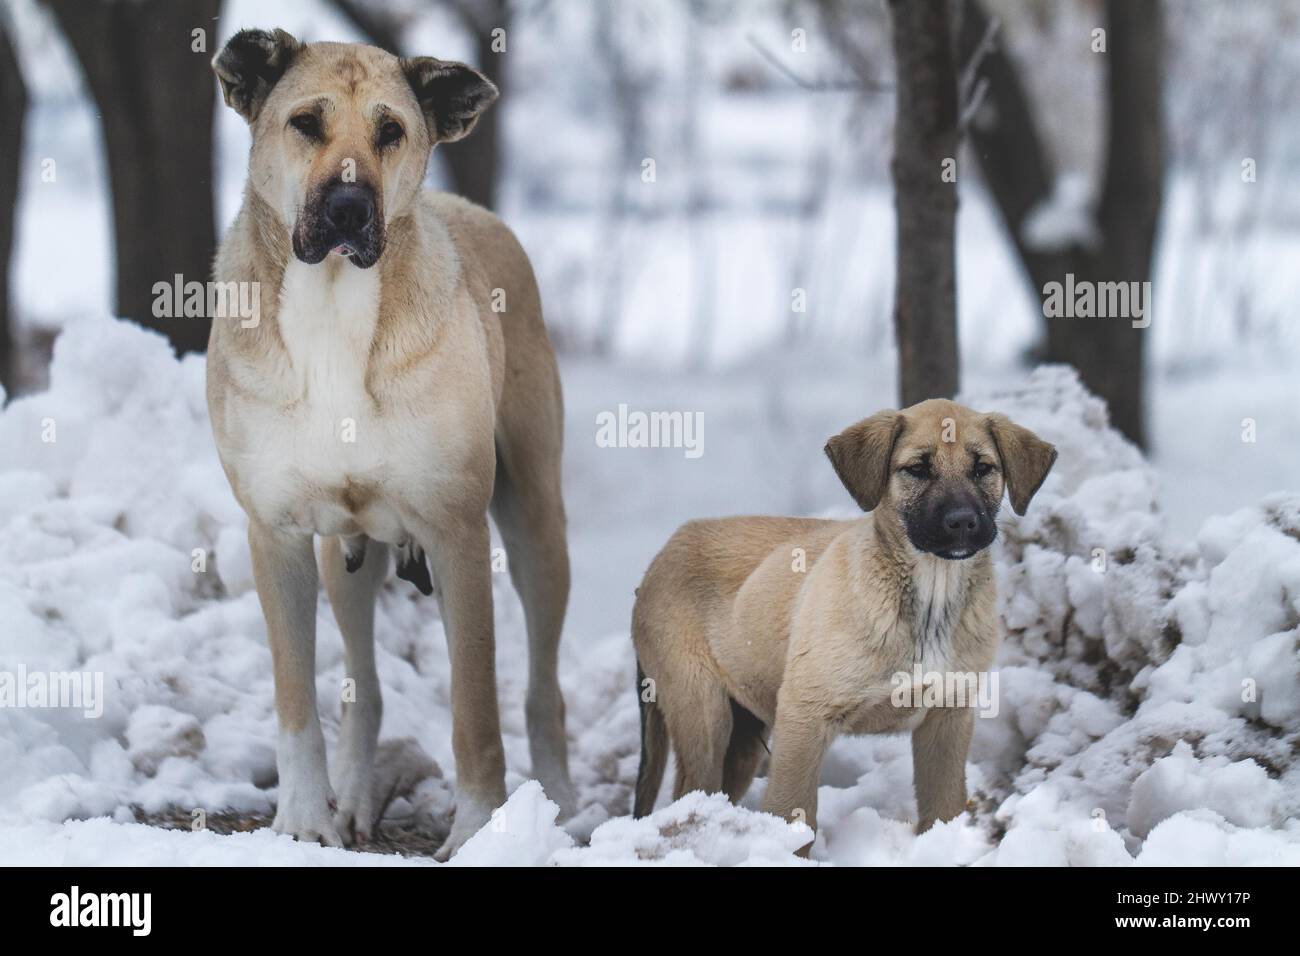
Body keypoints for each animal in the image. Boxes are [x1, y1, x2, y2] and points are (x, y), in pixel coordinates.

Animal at [209, 29, 574, 858]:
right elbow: (296, 701)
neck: (333, 306)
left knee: (541, 687)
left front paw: (477, 830)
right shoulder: (275, 534)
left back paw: (561, 802)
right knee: (364, 683)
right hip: (347, 557)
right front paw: (302, 820)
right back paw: (352, 794)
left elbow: (475, 708)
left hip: (537, 527)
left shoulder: (457, 532)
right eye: (305, 123)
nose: (350, 205)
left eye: (391, 132)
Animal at [629, 400, 1055, 848]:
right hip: (703, 714)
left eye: (983, 468)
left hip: (742, 736)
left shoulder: (947, 715)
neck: (929, 596)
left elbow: (944, 808)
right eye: (918, 469)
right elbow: (793, 814)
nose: (962, 522)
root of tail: (660, 557)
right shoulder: (805, 715)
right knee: (685, 800)